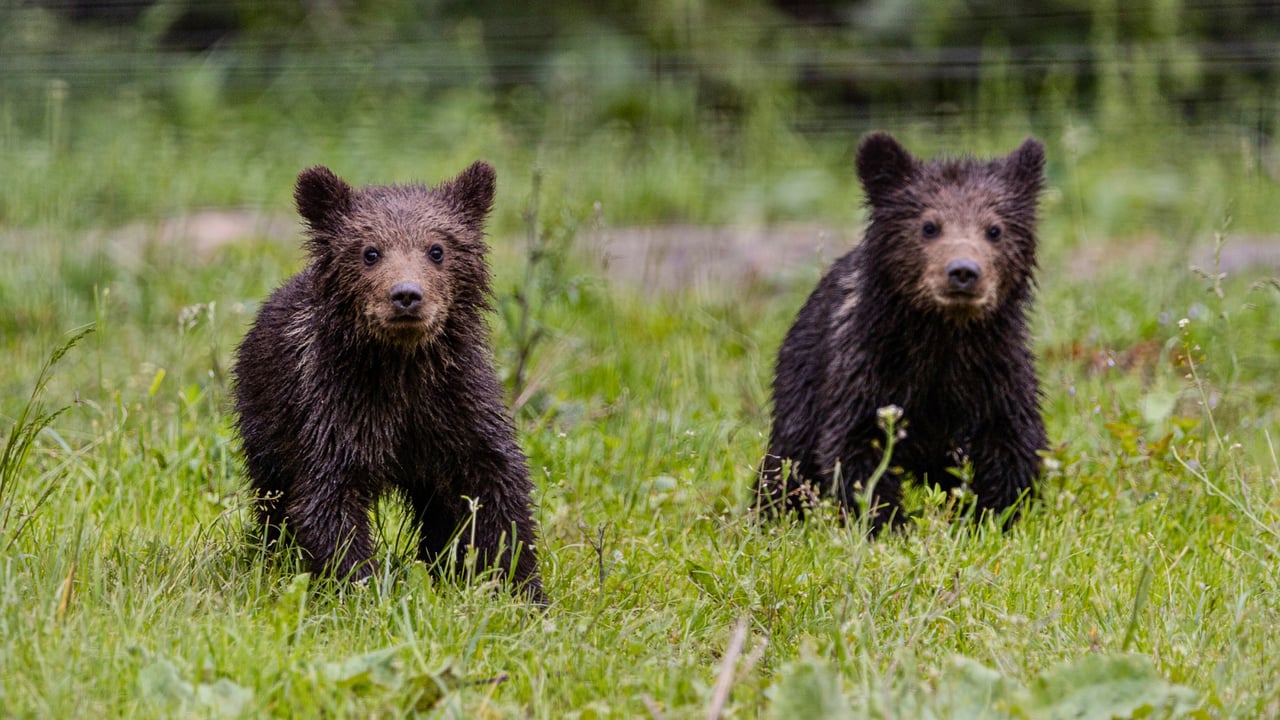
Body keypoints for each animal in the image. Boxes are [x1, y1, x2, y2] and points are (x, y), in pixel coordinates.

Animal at [232, 161, 544, 603]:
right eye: (370, 252)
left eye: (437, 249)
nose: (406, 295)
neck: (401, 371)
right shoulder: (335, 413)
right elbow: (328, 502)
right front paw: (361, 586)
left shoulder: (456, 406)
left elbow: (495, 489)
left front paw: (524, 587)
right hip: (268, 420)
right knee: (272, 495)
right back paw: (274, 553)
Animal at [754, 132, 1048, 531]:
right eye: (929, 226)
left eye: (994, 229)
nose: (963, 272)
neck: (942, 336)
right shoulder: (866, 371)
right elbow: (856, 448)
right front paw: (885, 522)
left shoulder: (995, 372)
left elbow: (1013, 442)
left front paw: (991, 516)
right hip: (803, 381)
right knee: (787, 459)